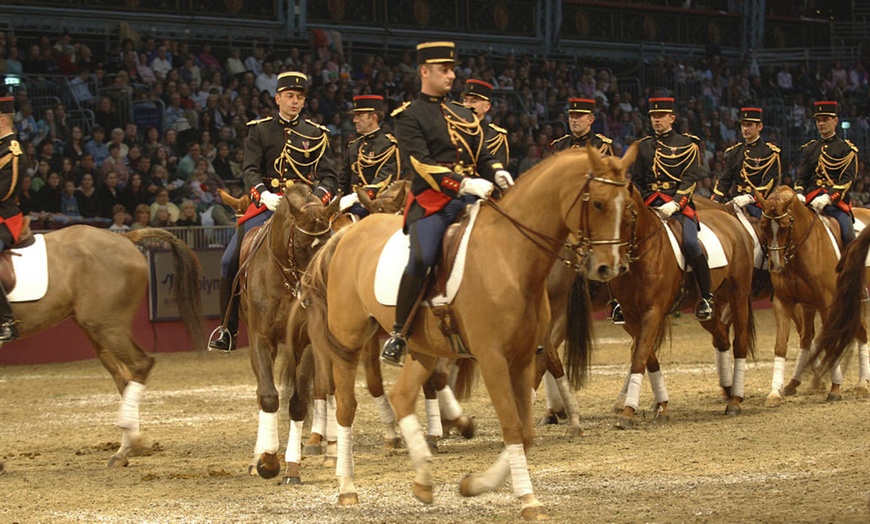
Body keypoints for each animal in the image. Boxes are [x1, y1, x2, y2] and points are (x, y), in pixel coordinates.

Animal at [0, 225, 203, 470]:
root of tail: (125, 237)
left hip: (108, 327)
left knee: (140, 364)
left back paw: (131, 441)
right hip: (96, 331)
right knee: (124, 376)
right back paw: (123, 450)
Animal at [304, 147, 636, 520]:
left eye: (628, 203)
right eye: (599, 203)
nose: (610, 267)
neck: (510, 255)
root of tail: (347, 234)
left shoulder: (522, 358)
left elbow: (526, 431)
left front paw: (476, 485)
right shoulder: (493, 359)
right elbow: (511, 425)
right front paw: (528, 499)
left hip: (423, 348)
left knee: (402, 396)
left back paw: (423, 480)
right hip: (348, 342)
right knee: (347, 407)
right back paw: (347, 485)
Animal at [756, 186, 870, 404]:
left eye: (785, 227)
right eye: (763, 226)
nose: (776, 265)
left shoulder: (828, 302)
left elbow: (831, 342)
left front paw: (835, 389)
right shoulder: (783, 302)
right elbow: (781, 346)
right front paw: (775, 392)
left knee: (860, 333)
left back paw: (861, 383)